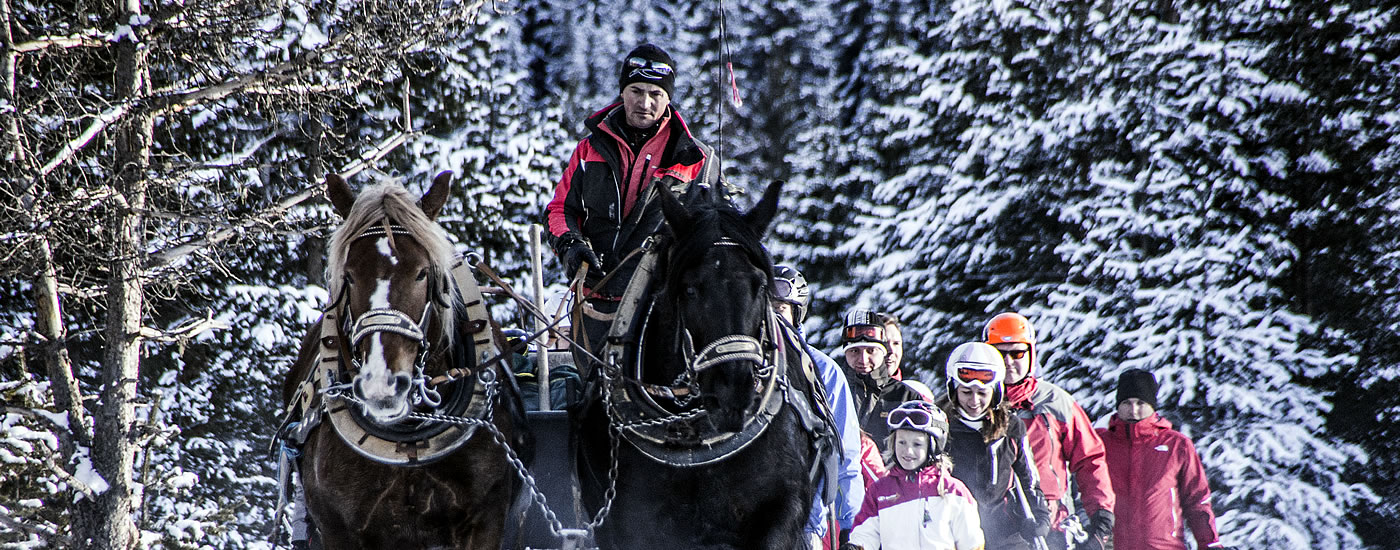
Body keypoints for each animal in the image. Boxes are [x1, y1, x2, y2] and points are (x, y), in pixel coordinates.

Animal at [282, 170, 529, 543]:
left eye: (422, 272)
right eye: (349, 275)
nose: (382, 385)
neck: (409, 437)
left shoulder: (485, 518)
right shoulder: (336, 528)